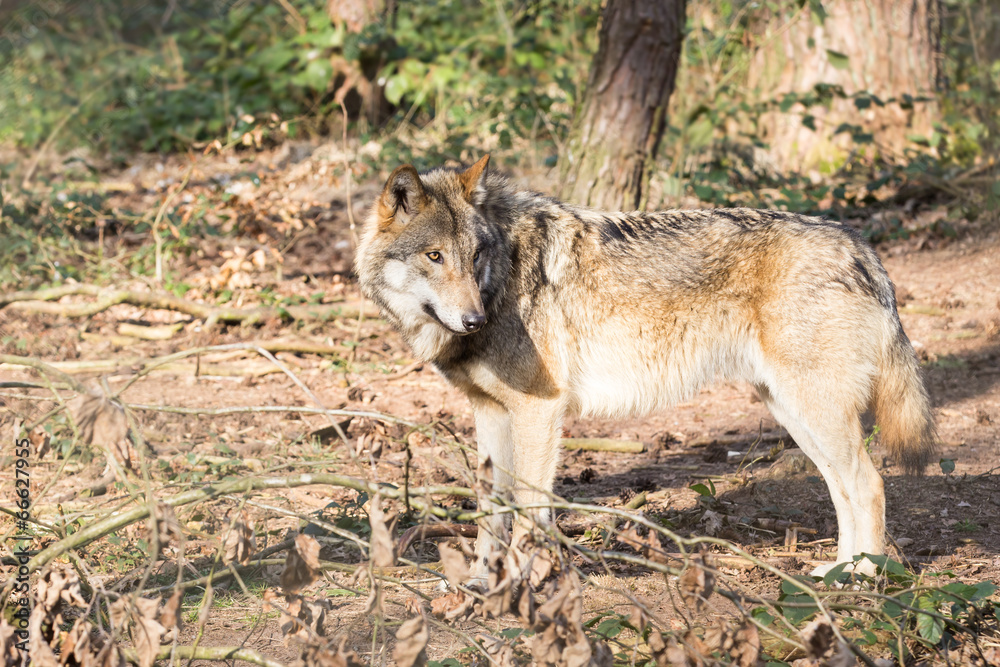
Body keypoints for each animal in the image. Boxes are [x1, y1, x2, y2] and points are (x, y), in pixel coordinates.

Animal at [356, 155, 936, 580]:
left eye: (474, 256)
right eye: (434, 256)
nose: (473, 319)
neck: (502, 275)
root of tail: (860, 245)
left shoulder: (539, 410)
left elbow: (529, 509)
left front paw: (526, 584)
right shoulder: (491, 413)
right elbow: (491, 511)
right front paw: (481, 583)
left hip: (812, 410)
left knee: (869, 483)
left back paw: (864, 579)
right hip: (794, 413)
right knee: (842, 488)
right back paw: (836, 574)